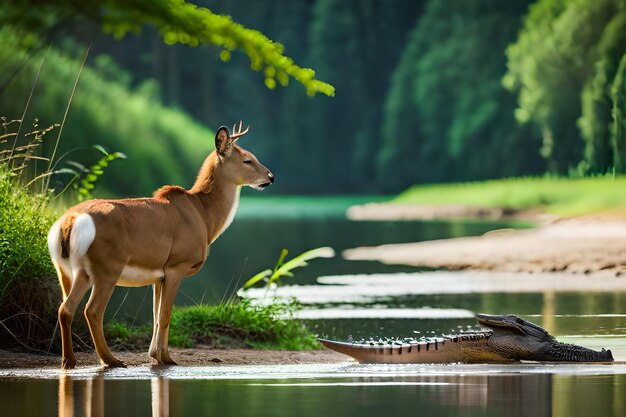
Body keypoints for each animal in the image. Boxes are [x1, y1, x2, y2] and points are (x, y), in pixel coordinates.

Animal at [47, 121, 272, 368]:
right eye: (247, 159)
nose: (271, 177)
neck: (203, 214)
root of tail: (69, 221)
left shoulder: (158, 275)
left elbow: (156, 315)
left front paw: (156, 355)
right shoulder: (176, 265)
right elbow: (165, 315)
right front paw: (167, 358)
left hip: (69, 270)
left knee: (65, 308)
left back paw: (69, 360)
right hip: (107, 267)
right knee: (92, 311)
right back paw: (110, 360)